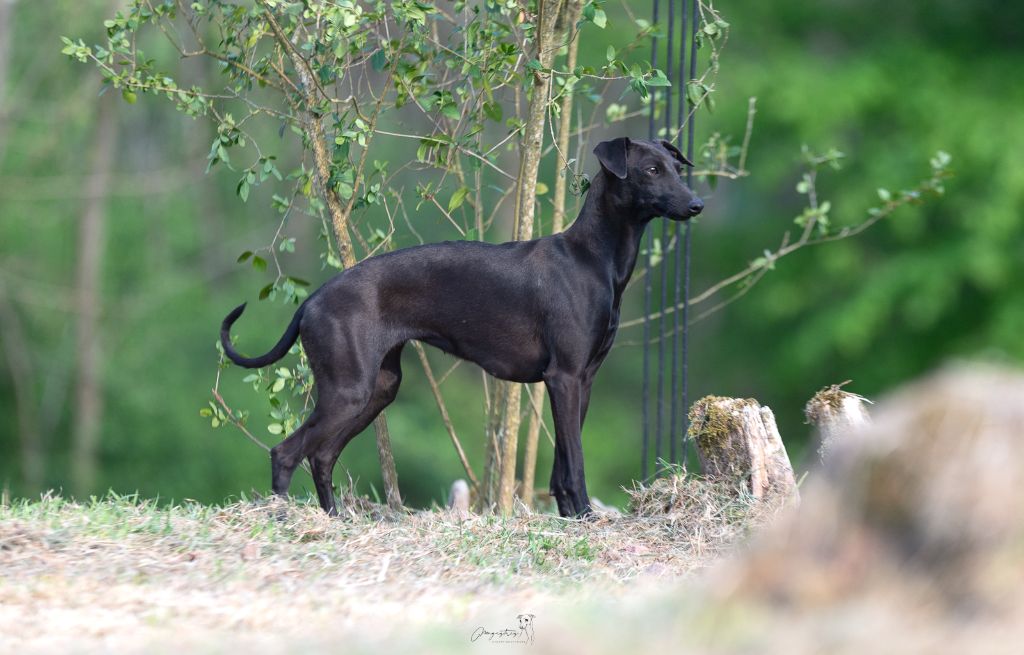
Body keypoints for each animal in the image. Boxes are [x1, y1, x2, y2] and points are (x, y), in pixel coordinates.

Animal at [222, 138, 704, 515]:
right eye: (651, 170)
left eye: (678, 168)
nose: (697, 204)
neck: (591, 258)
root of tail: (311, 301)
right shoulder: (564, 377)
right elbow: (576, 463)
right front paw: (586, 517)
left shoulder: (582, 381)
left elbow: (562, 465)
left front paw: (570, 518)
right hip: (348, 390)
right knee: (286, 452)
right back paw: (284, 519)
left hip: (378, 388)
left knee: (321, 456)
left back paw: (335, 520)